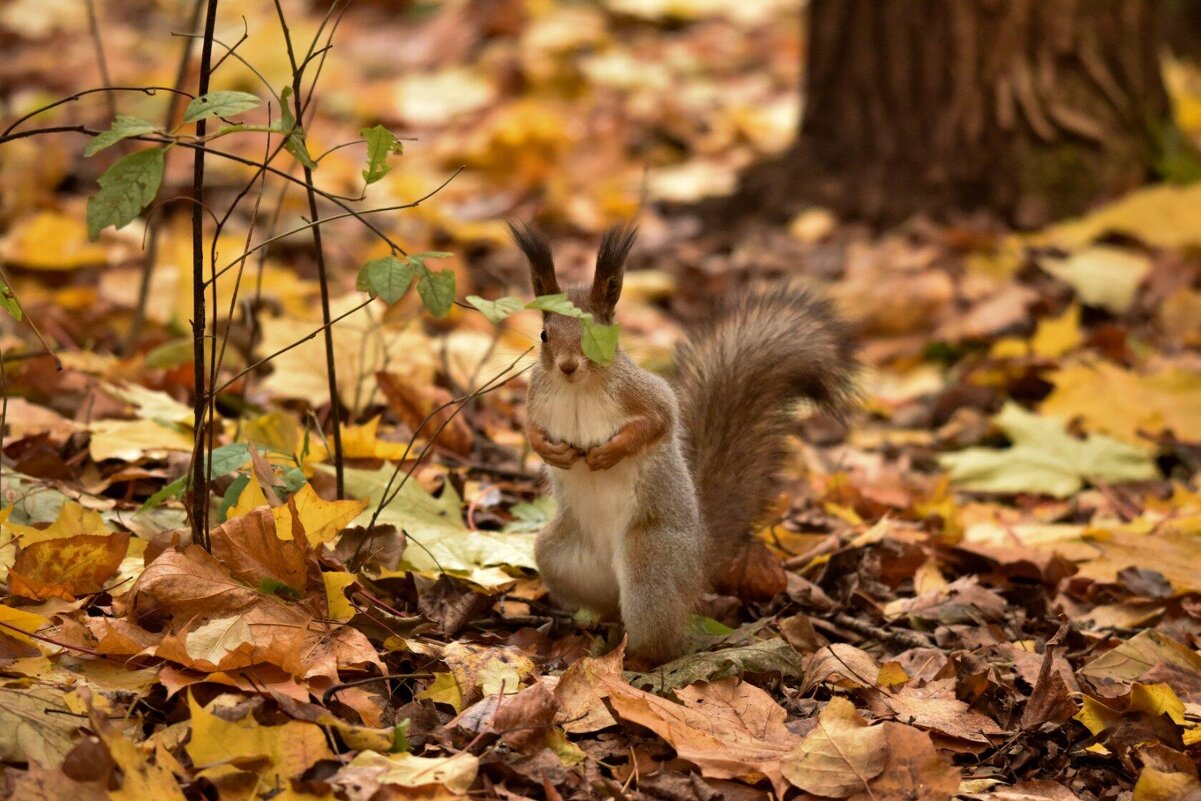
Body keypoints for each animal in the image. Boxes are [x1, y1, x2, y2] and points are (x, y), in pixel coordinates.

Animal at [511, 220, 859, 662]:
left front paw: (610, 452)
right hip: (559, 556)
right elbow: (529, 429)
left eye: (601, 334)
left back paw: (635, 659)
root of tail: (700, 560)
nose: (568, 366)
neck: (577, 390)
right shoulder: (536, 397)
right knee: (609, 607)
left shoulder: (645, 394)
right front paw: (550, 451)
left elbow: (660, 421)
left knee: (663, 639)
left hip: (651, 563)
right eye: (544, 334)